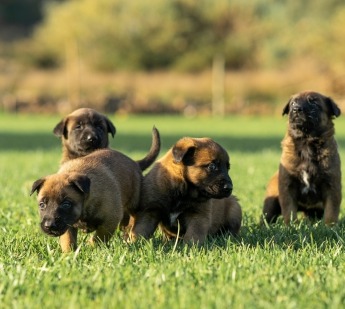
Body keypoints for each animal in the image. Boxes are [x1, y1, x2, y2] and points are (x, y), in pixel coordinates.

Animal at [31, 129, 161, 251]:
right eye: (42, 205)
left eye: (66, 204)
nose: (49, 225)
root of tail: (135, 163)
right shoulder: (67, 224)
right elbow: (68, 240)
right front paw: (68, 254)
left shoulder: (109, 221)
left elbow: (98, 238)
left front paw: (91, 246)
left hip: (134, 204)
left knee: (134, 220)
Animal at [262, 91, 340, 224]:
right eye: (293, 103)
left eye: (314, 102)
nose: (296, 109)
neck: (306, 141)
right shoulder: (287, 186)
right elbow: (289, 211)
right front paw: (291, 226)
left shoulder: (332, 186)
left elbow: (331, 211)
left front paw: (329, 226)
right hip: (271, 202)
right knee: (267, 216)